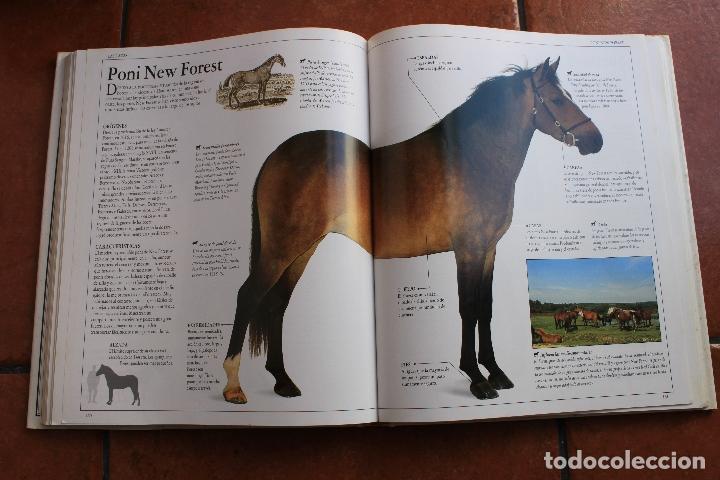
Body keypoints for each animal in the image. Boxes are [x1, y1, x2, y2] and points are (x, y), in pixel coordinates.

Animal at [222, 57, 603, 404]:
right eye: (557, 100)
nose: (595, 140)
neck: (472, 159)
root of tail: (275, 156)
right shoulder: (468, 249)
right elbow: (468, 308)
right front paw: (476, 378)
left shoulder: (489, 250)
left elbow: (486, 309)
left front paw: (495, 372)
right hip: (282, 248)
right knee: (247, 296)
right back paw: (233, 386)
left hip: (303, 248)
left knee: (277, 304)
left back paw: (283, 381)